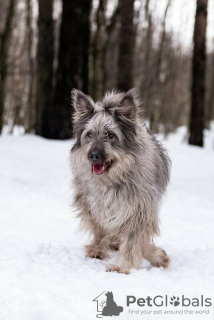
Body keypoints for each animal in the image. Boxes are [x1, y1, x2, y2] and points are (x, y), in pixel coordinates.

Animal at [71, 88, 171, 276]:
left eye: (110, 135)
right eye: (89, 134)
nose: (93, 155)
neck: (115, 177)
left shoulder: (139, 208)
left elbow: (134, 239)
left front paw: (123, 267)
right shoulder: (95, 204)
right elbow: (101, 229)